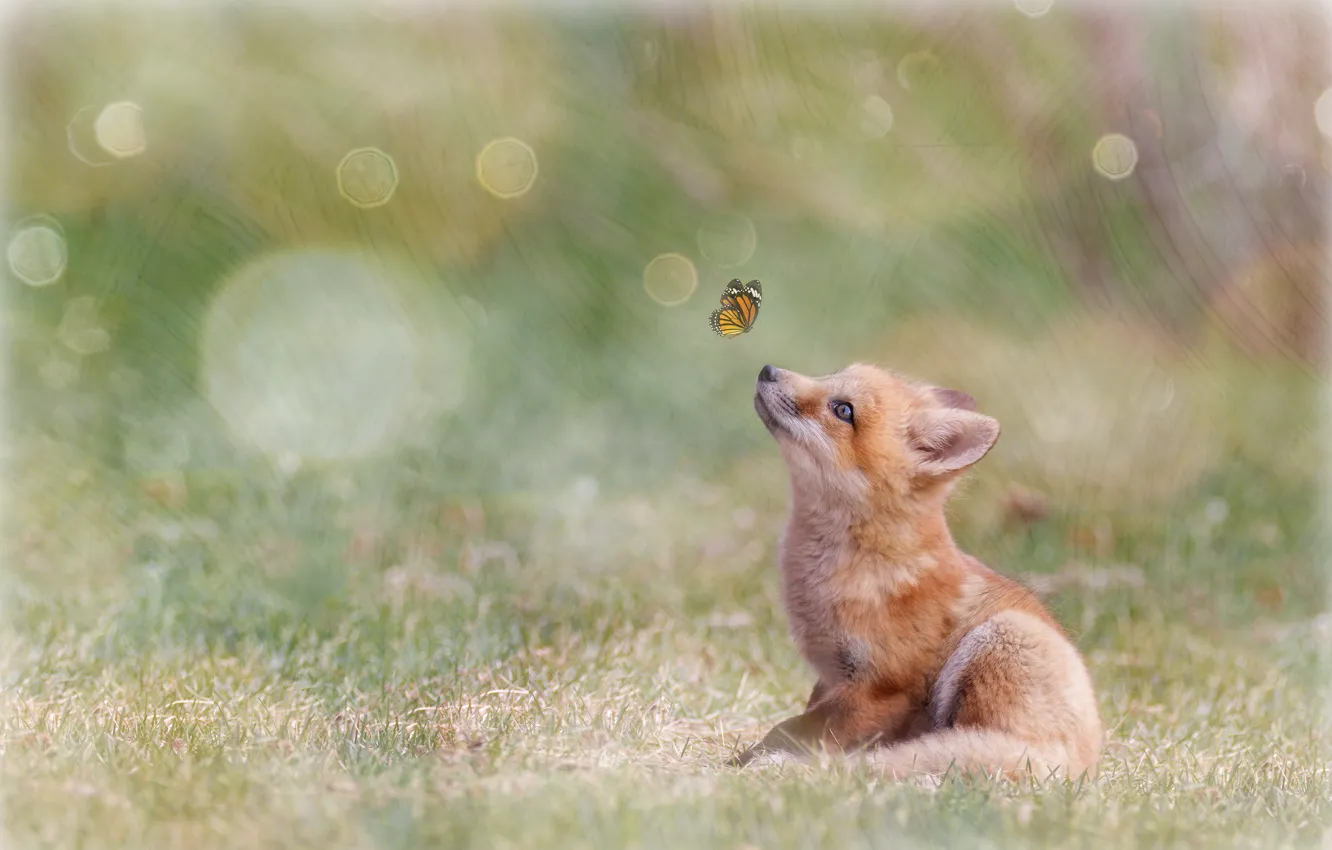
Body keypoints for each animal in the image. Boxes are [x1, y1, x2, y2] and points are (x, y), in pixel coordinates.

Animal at [734, 362, 1103, 782]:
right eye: (833, 373)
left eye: (843, 410)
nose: (768, 369)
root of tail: (1083, 766)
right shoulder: (830, 679)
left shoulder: (879, 691)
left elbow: (797, 730)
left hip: (1001, 636)